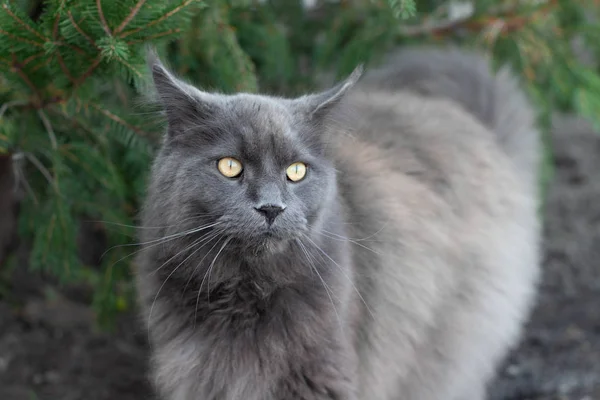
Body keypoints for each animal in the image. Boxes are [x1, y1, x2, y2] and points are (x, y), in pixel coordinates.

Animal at [136, 47, 540, 400]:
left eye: (296, 171)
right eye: (230, 166)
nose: (271, 208)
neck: (244, 292)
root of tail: (473, 122)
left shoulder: (320, 376)